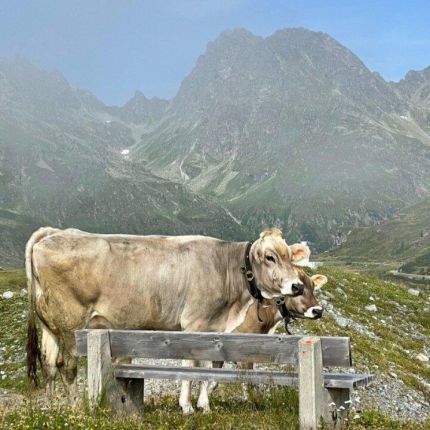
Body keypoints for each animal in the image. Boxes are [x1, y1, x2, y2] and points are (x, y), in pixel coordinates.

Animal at [190, 272, 328, 414]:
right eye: (298, 289)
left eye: (313, 286)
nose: (318, 311)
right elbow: (248, 381)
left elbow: (214, 380)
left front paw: (203, 405)